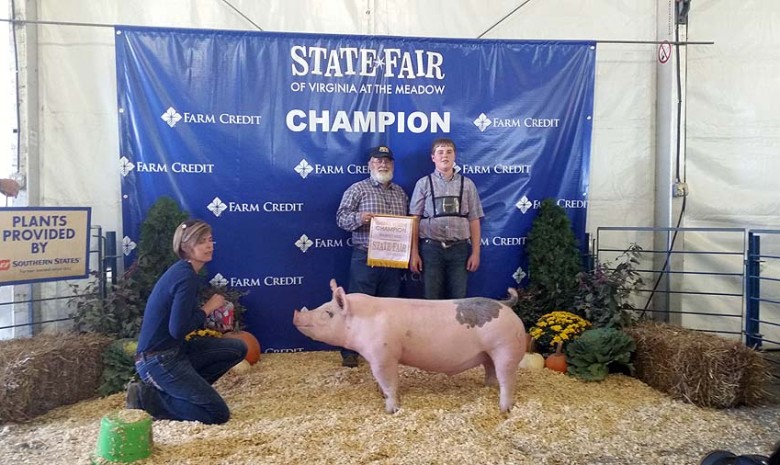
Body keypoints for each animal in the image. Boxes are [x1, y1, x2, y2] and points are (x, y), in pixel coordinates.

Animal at [290, 280, 524, 414]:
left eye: (328, 313)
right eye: (323, 306)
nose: (296, 315)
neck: (360, 322)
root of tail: (505, 305)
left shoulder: (384, 355)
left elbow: (388, 381)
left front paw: (391, 410)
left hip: (506, 349)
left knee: (508, 380)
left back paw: (504, 409)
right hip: (488, 353)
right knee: (491, 372)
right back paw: (487, 389)